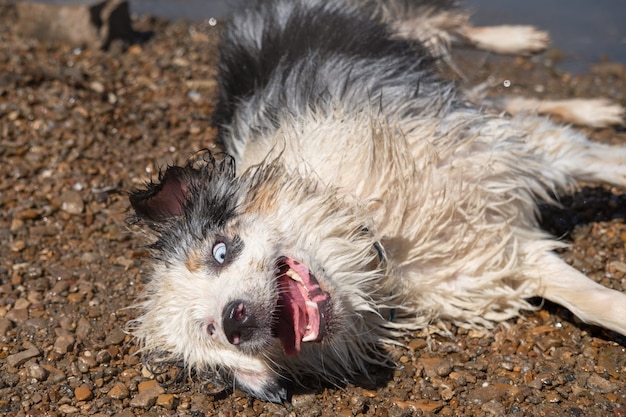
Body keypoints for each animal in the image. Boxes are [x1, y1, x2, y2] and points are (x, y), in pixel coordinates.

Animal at [128, 0, 624, 404]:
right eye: (209, 332)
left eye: (219, 251)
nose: (235, 321)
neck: (372, 239)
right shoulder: (488, 261)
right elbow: (589, 300)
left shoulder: (493, 153)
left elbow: (596, 160)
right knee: (505, 98)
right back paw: (593, 106)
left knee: (453, 32)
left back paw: (522, 40)